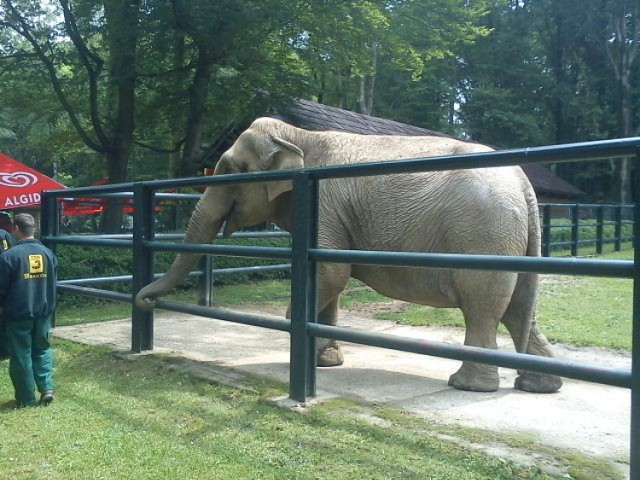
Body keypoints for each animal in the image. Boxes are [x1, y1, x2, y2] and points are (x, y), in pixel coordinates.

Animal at [134, 117, 560, 394]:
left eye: (231, 168)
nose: (144, 302)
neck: (299, 135)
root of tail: (524, 183)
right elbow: (328, 277)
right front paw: (326, 362)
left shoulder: (323, 204)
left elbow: (331, 275)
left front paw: (307, 357)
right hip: (511, 238)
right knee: (518, 307)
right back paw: (539, 385)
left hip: (483, 235)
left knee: (483, 306)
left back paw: (468, 385)